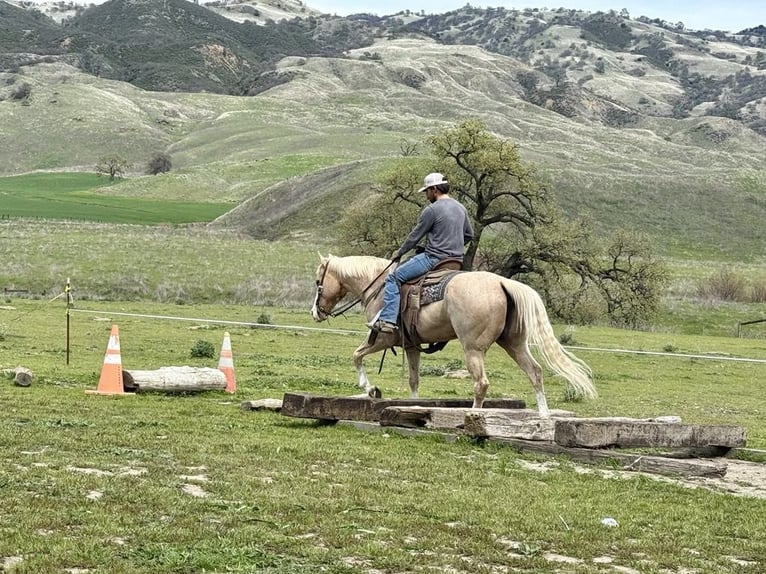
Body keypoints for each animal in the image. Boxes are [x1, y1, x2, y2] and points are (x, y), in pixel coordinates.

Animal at [311, 254, 595, 417]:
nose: (315, 312)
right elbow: (414, 380)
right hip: (514, 343)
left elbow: (356, 356)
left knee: (481, 383)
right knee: (535, 372)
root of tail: (502, 282)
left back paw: (472, 419)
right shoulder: (411, 346)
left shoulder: (383, 338)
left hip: (473, 349)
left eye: (317, 282)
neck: (378, 286)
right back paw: (544, 416)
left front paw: (370, 389)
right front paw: (410, 406)